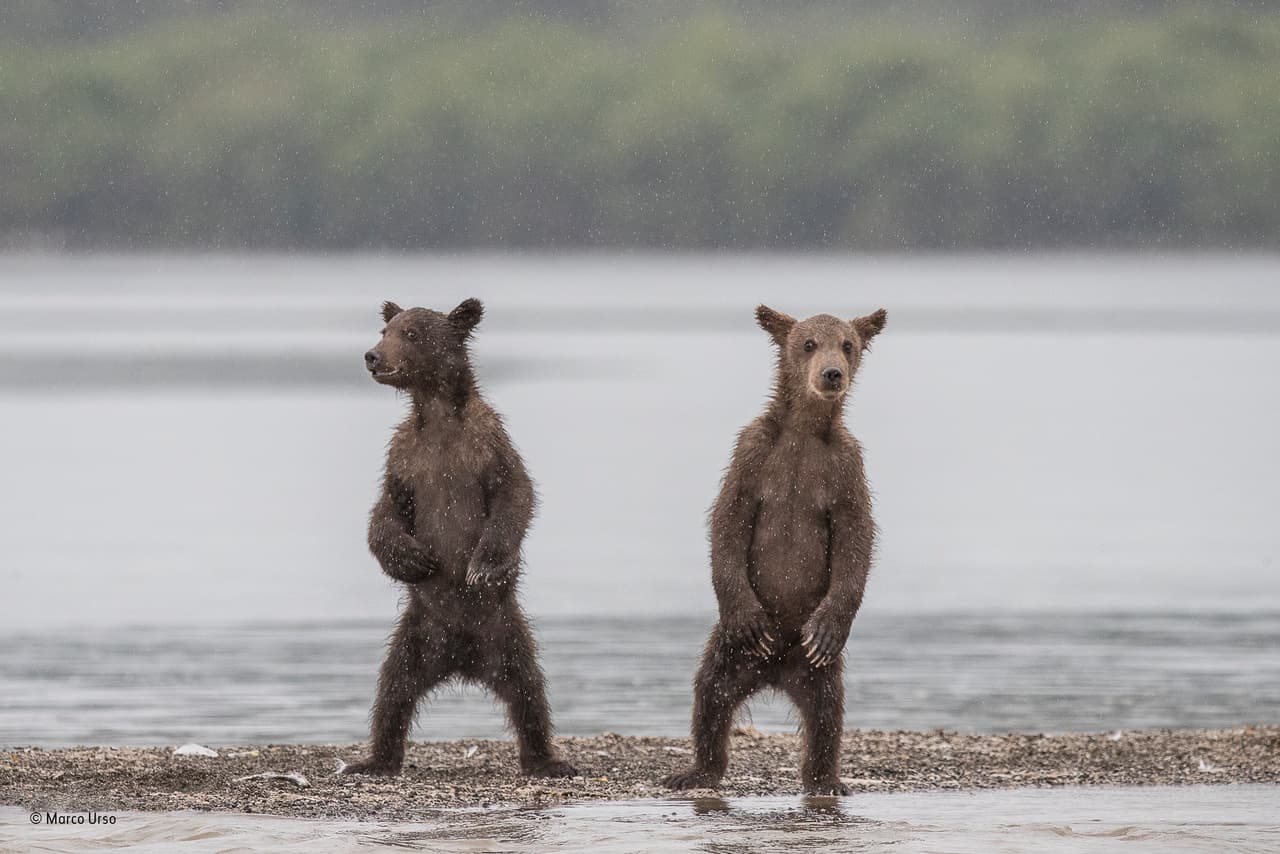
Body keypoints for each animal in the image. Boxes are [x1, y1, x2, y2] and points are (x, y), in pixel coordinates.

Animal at [341, 298, 577, 779]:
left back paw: (546, 759)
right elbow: (385, 512)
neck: (437, 416)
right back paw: (374, 760)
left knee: (529, 691)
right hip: (417, 636)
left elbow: (515, 495)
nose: (372, 356)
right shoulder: (405, 459)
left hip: (505, 633)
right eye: (385, 329)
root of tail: (462, 659)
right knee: (393, 691)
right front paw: (413, 560)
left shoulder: (486, 446)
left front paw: (483, 565)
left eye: (412, 333)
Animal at [662, 304, 887, 796]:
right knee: (710, 695)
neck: (804, 430)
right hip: (731, 653)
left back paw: (826, 779)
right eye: (808, 343)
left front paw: (829, 626)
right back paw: (695, 771)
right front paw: (748, 617)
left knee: (827, 714)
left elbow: (856, 538)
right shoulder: (754, 454)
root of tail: (777, 671)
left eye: (848, 344)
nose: (832, 374)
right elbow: (728, 520)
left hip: (819, 669)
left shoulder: (845, 468)